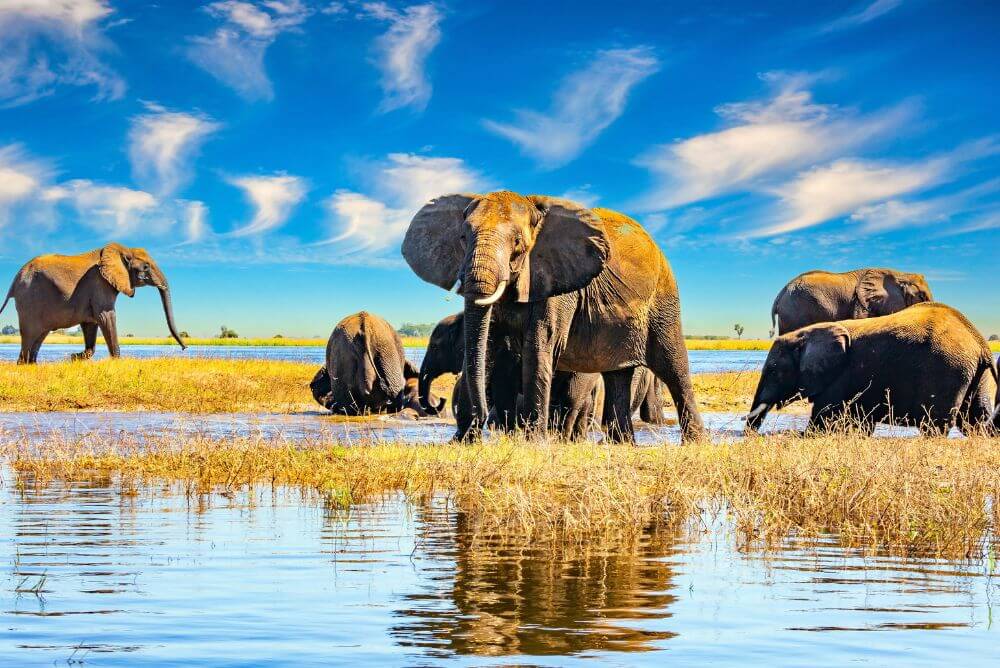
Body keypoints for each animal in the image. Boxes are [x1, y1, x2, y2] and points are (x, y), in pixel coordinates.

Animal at [0, 242, 185, 363]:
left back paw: (32, 364)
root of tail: (15, 279)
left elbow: (91, 322)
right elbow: (106, 316)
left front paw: (75, 357)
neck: (122, 250)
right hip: (29, 300)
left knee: (39, 336)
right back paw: (23, 365)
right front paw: (117, 362)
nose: (184, 348)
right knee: (30, 335)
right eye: (146, 267)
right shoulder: (100, 282)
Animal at [402, 192, 704, 443]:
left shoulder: (557, 282)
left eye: (518, 243)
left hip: (664, 299)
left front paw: (533, 443)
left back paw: (695, 444)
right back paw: (621, 444)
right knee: (617, 375)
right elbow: (488, 346)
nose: (482, 418)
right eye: (463, 239)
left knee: (674, 367)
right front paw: (467, 442)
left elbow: (539, 346)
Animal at [745, 303, 997, 436]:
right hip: (975, 374)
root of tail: (980, 342)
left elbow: (822, 422)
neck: (804, 334)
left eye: (773, 370)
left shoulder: (840, 376)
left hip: (948, 370)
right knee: (975, 421)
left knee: (935, 425)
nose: (749, 435)